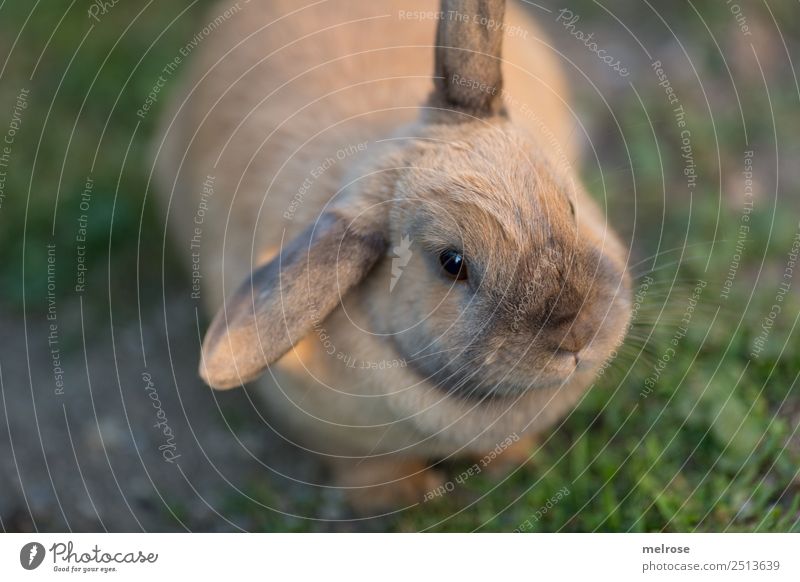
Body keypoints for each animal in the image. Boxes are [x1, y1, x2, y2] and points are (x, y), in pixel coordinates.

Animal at [155, 0, 632, 512]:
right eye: (452, 263)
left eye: (569, 206)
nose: (578, 337)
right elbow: (366, 470)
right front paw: (403, 495)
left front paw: (514, 461)